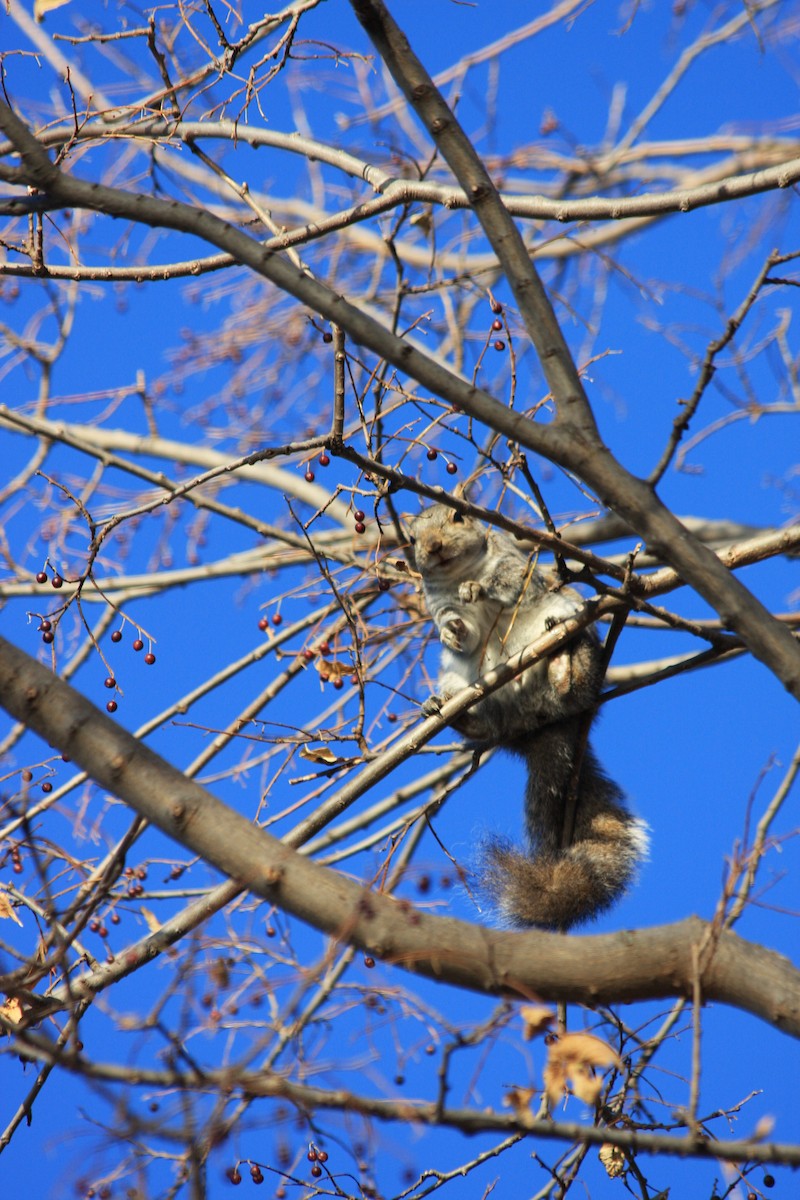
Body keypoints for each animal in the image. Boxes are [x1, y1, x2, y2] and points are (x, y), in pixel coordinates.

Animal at [409, 502, 648, 932]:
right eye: (411, 539)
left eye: (457, 518)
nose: (433, 547)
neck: (458, 573)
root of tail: (534, 726)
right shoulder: (438, 603)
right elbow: (461, 628)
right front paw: (453, 630)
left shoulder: (517, 565)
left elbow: (512, 581)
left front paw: (479, 589)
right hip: (461, 679)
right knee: (485, 723)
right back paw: (447, 709)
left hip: (576, 629)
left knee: (572, 671)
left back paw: (562, 666)